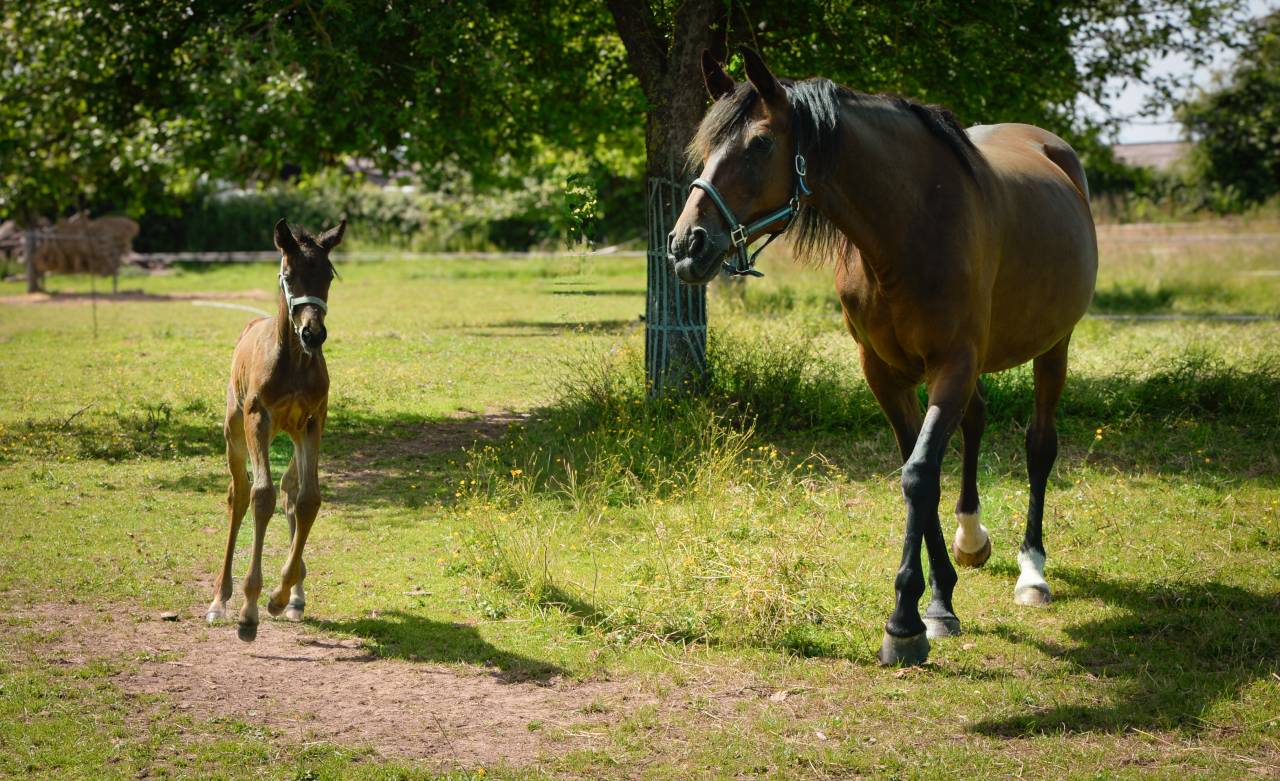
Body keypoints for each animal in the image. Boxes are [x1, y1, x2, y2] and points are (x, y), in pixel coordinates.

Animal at [206, 218, 344, 642]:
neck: (294, 360)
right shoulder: (258, 418)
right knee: (239, 494)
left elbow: (309, 500)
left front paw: (282, 596)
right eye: (288, 274)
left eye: (328, 275)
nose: (313, 334)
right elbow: (260, 496)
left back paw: (296, 595)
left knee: (290, 491)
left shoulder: (314, 421)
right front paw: (249, 610)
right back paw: (219, 600)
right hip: (235, 431)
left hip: (294, 435)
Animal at [669, 49, 1097, 666]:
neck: (912, 227)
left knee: (1039, 447)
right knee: (975, 424)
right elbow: (919, 471)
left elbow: (919, 475)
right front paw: (939, 601)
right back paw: (972, 538)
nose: (687, 246)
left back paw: (1032, 572)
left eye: (760, 144)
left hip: (1053, 345)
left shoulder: (952, 365)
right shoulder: (885, 374)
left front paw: (906, 623)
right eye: (705, 147)